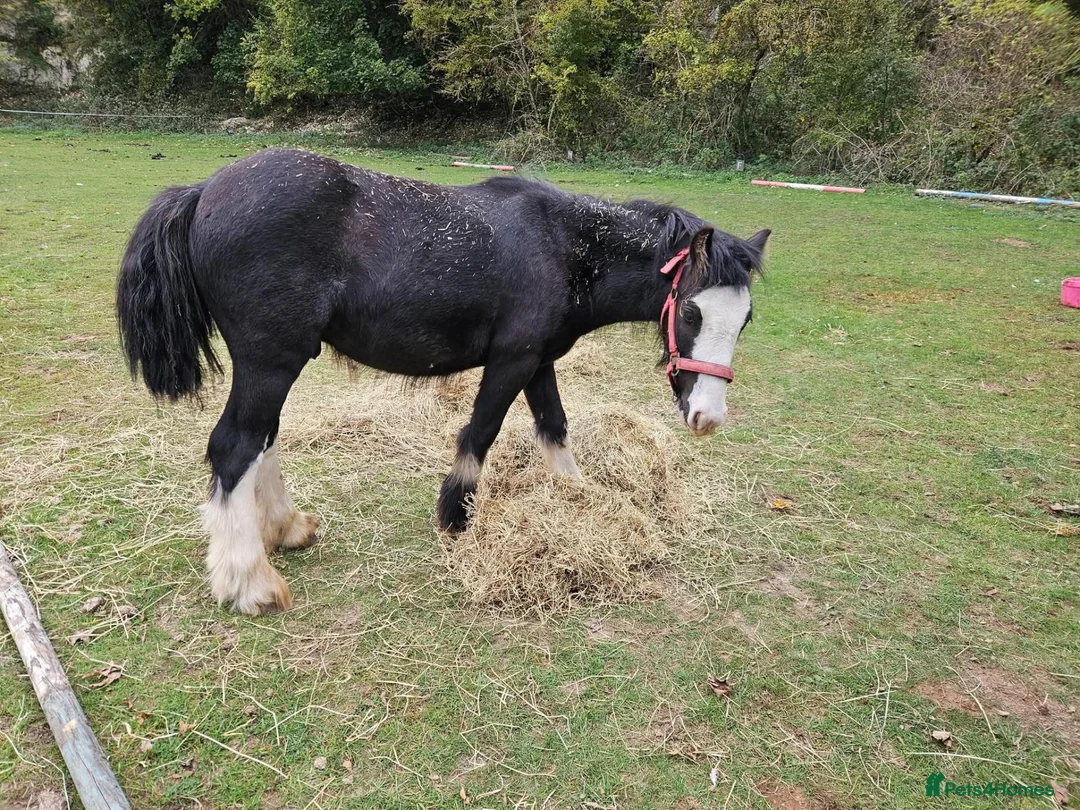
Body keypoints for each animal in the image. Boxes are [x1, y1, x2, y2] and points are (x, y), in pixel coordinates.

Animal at [116, 148, 768, 615]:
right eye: (692, 313)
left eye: (745, 319)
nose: (707, 417)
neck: (564, 246)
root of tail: (203, 193)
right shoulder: (510, 362)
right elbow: (479, 433)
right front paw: (456, 515)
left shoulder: (539, 362)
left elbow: (555, 428)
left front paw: (580, 501)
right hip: (271, 361)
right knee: (235, 446)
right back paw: (248, 582)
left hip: (273, 365)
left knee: (262, 441)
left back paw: (286, 529)